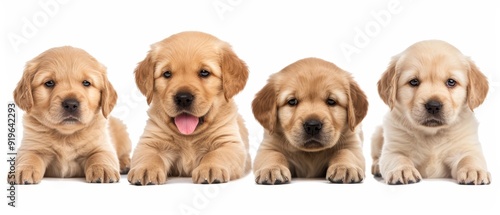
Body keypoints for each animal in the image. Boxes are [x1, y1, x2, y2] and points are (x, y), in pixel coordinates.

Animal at [9, 46, 132, 184]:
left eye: (86, 83)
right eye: (49, 83)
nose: (71, 104)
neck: (66, 136)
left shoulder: (102, 146)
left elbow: (100, 155)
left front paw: (103, 168)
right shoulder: (31, 146)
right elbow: (29, 157)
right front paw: (22, 169)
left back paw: (125, 164)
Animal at [127, 31, 252, 185]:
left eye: (204, 72)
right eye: (167, 74)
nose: (183, 98)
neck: (189, 136)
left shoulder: (230, 142)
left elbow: (216, 154)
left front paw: (210, 167)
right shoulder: (150, 141)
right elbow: (149, 155)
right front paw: (145, 169)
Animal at [254, 57, 368, 185]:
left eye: (331, 101)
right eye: (292, 101)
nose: (312, 126)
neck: (310, 153)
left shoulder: (352, 144)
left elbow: (345, 152)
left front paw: (345, 167)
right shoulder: (268, 145)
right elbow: (273, 154)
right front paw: (272, 168)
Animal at [372, 40, 492, 185]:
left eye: (451, 82)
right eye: (414, 81)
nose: (433, 106)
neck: (432, 135)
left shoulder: (468, 147)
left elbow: (469, 158)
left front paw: (474, 170)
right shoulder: (393, 149)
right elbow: (398, 158)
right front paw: (402, 170)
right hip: (377, 133)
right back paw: (376, 166)